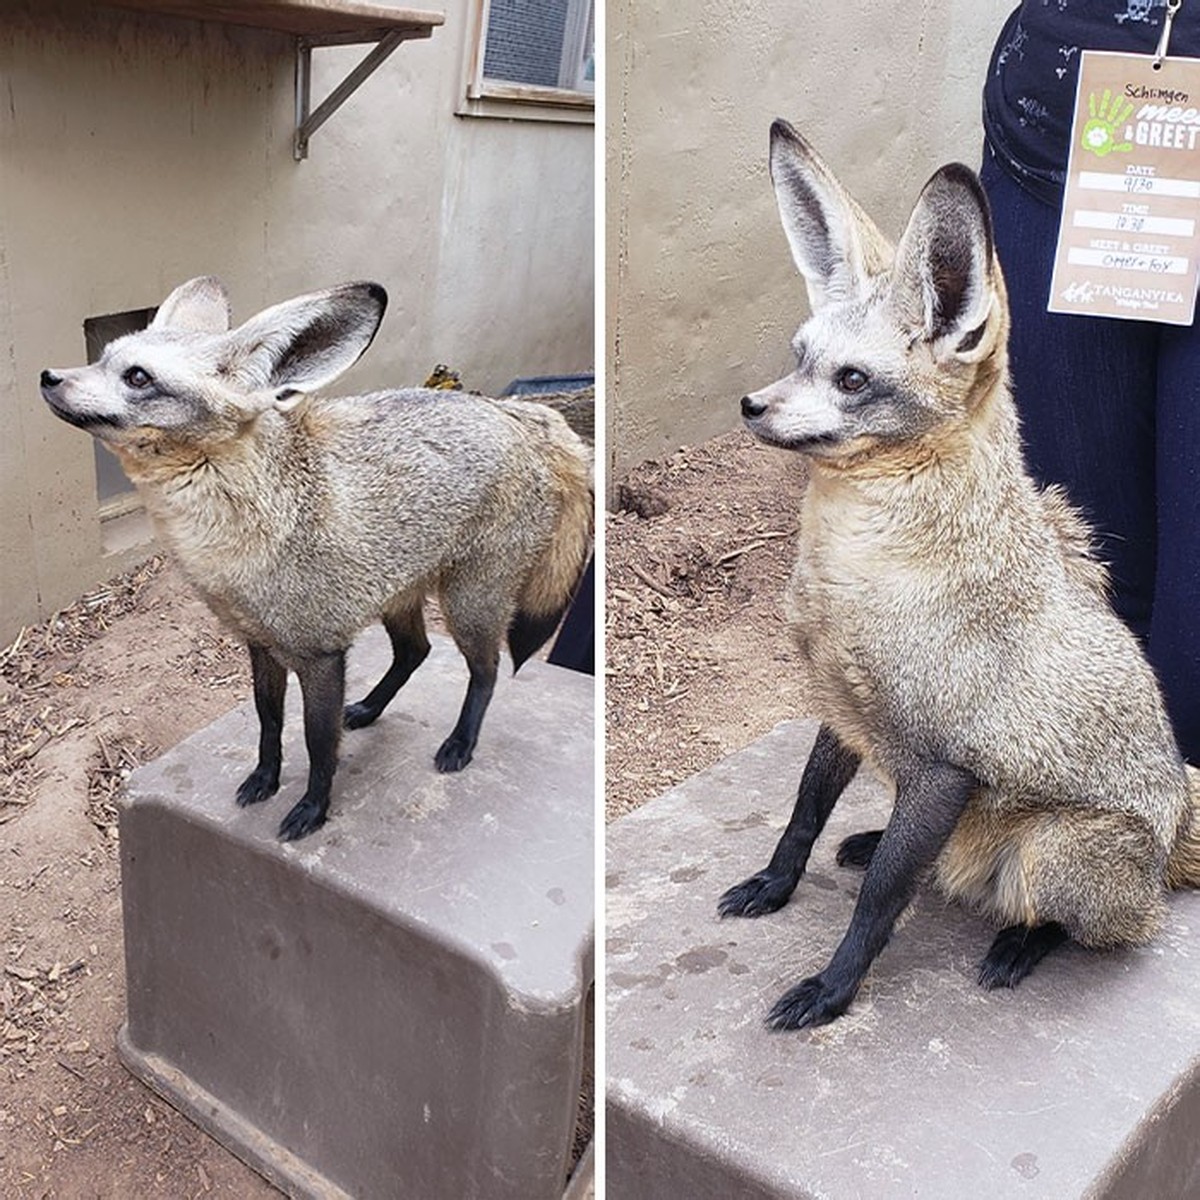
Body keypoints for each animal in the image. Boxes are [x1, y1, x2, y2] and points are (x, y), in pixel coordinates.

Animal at [41, 277, 592, 841]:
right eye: (101, 358)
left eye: (137, 377)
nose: (48, 376)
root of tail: (523, 414)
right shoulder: (261, 645)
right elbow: (269, 723)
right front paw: (264, 778)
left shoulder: (321, 655)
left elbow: (318, 743)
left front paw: (313, 808)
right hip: (398, 595)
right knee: (414, 652)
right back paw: (370, 708)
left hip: (469, 606)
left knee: (487, 671)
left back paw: (461, 742)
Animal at [717, 119, 1200, 1030]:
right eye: (800, 356)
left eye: (853, 380)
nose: (752, 406)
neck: (849, 586)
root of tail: (1174, 831)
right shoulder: (843, 712)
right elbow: (803, 812)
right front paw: (775, 882)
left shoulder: (946, 768)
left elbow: (879, 902)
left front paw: (834, 988)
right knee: (931, 864)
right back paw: (880, 841)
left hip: (1054, 852)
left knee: (1094, 920)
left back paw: (1020, 943)